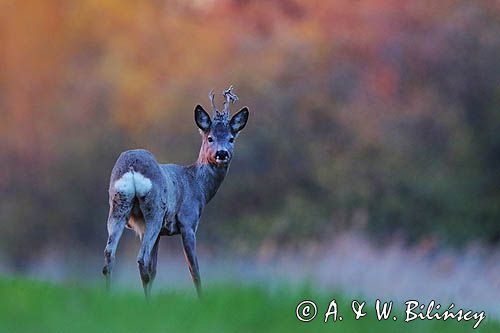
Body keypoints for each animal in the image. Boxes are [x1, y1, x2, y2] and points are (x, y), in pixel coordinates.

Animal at [102, 85, 250, 296]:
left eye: (231, 138)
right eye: (210, 137)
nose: (222, 154)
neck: (197, 185)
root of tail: (131, 168)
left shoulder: (159, 233)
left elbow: (155, 269)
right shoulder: (188, 222)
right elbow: (194, 270)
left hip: (118, 206)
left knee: (110, 256)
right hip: (154, 210)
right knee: (141, 258)